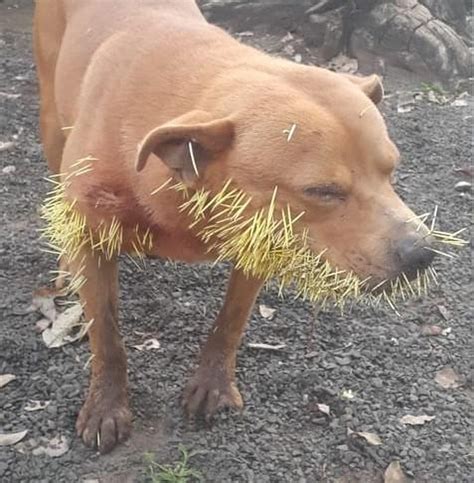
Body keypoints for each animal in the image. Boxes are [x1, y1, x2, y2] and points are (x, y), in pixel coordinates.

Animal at [32, 0, 434, 454]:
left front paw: (213, 384)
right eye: (323, 191)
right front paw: (106, 405)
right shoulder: (91, 236)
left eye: (392, 169)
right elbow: (106, 333)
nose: (423, 252)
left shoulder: (260, 239)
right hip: (51, 123)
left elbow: (231, 321)